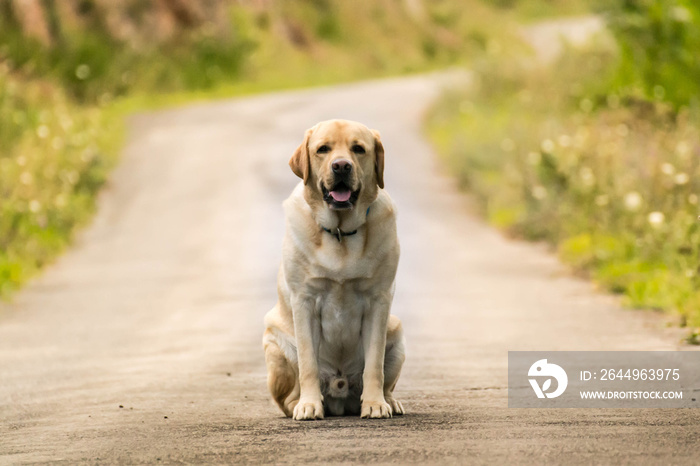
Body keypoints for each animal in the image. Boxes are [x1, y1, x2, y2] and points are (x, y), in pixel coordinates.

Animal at [262, 118, 404, 420]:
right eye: (323, 149)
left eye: (358, 149)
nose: (341, 166)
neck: (340, 232)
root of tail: (340, 392)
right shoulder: (304, 301)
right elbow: (308, 364)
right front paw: (309, 405)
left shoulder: (379, 301)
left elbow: (374, 364)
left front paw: (374, 404)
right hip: (274, 345)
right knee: (286, 398)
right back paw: (305, 404)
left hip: (397, 332)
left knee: (386, 381)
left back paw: (390, 402)